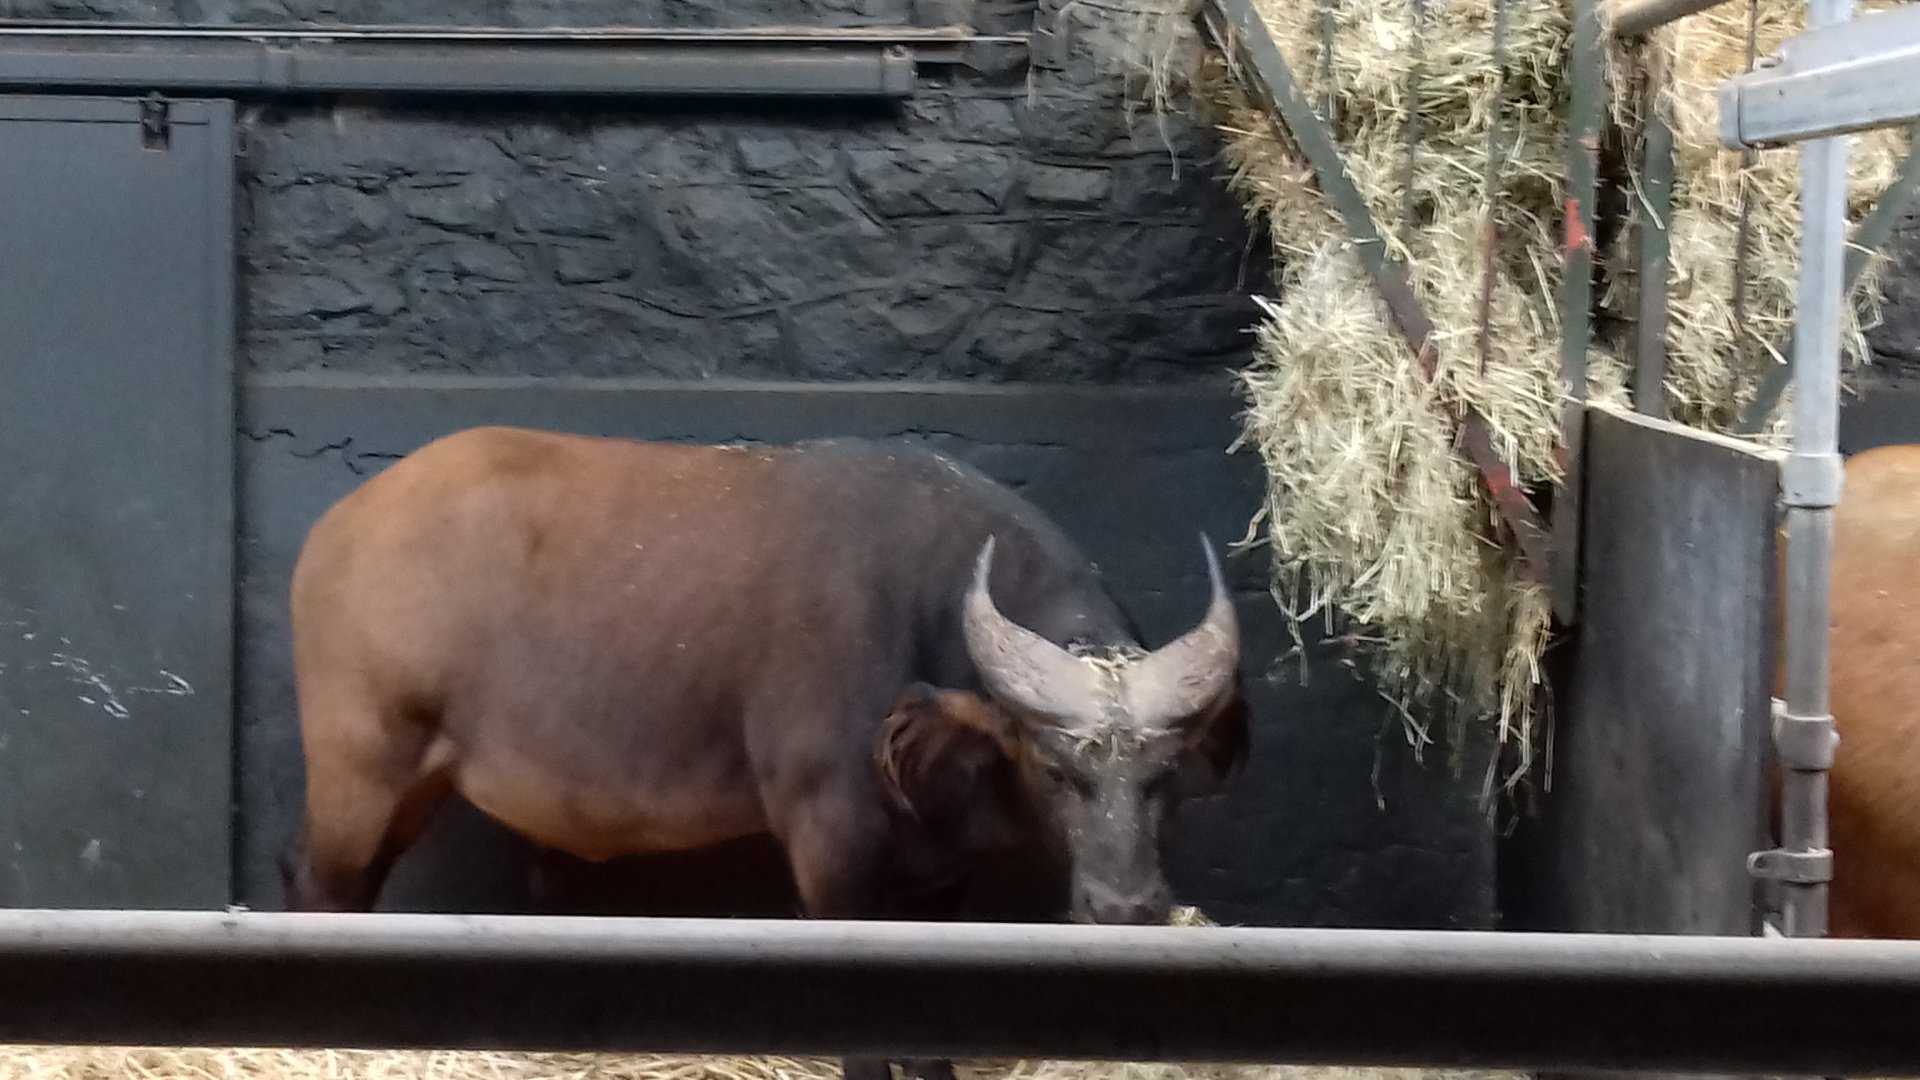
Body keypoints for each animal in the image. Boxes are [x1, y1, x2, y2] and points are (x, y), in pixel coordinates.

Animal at [279, 426, 1251, 1080]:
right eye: (1054, 768)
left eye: (1166, 775)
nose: (1125, 907)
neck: (925, 610)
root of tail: (339, 529)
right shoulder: (829, 848)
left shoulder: (945, 875)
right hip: (361, 766)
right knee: (320, 884)